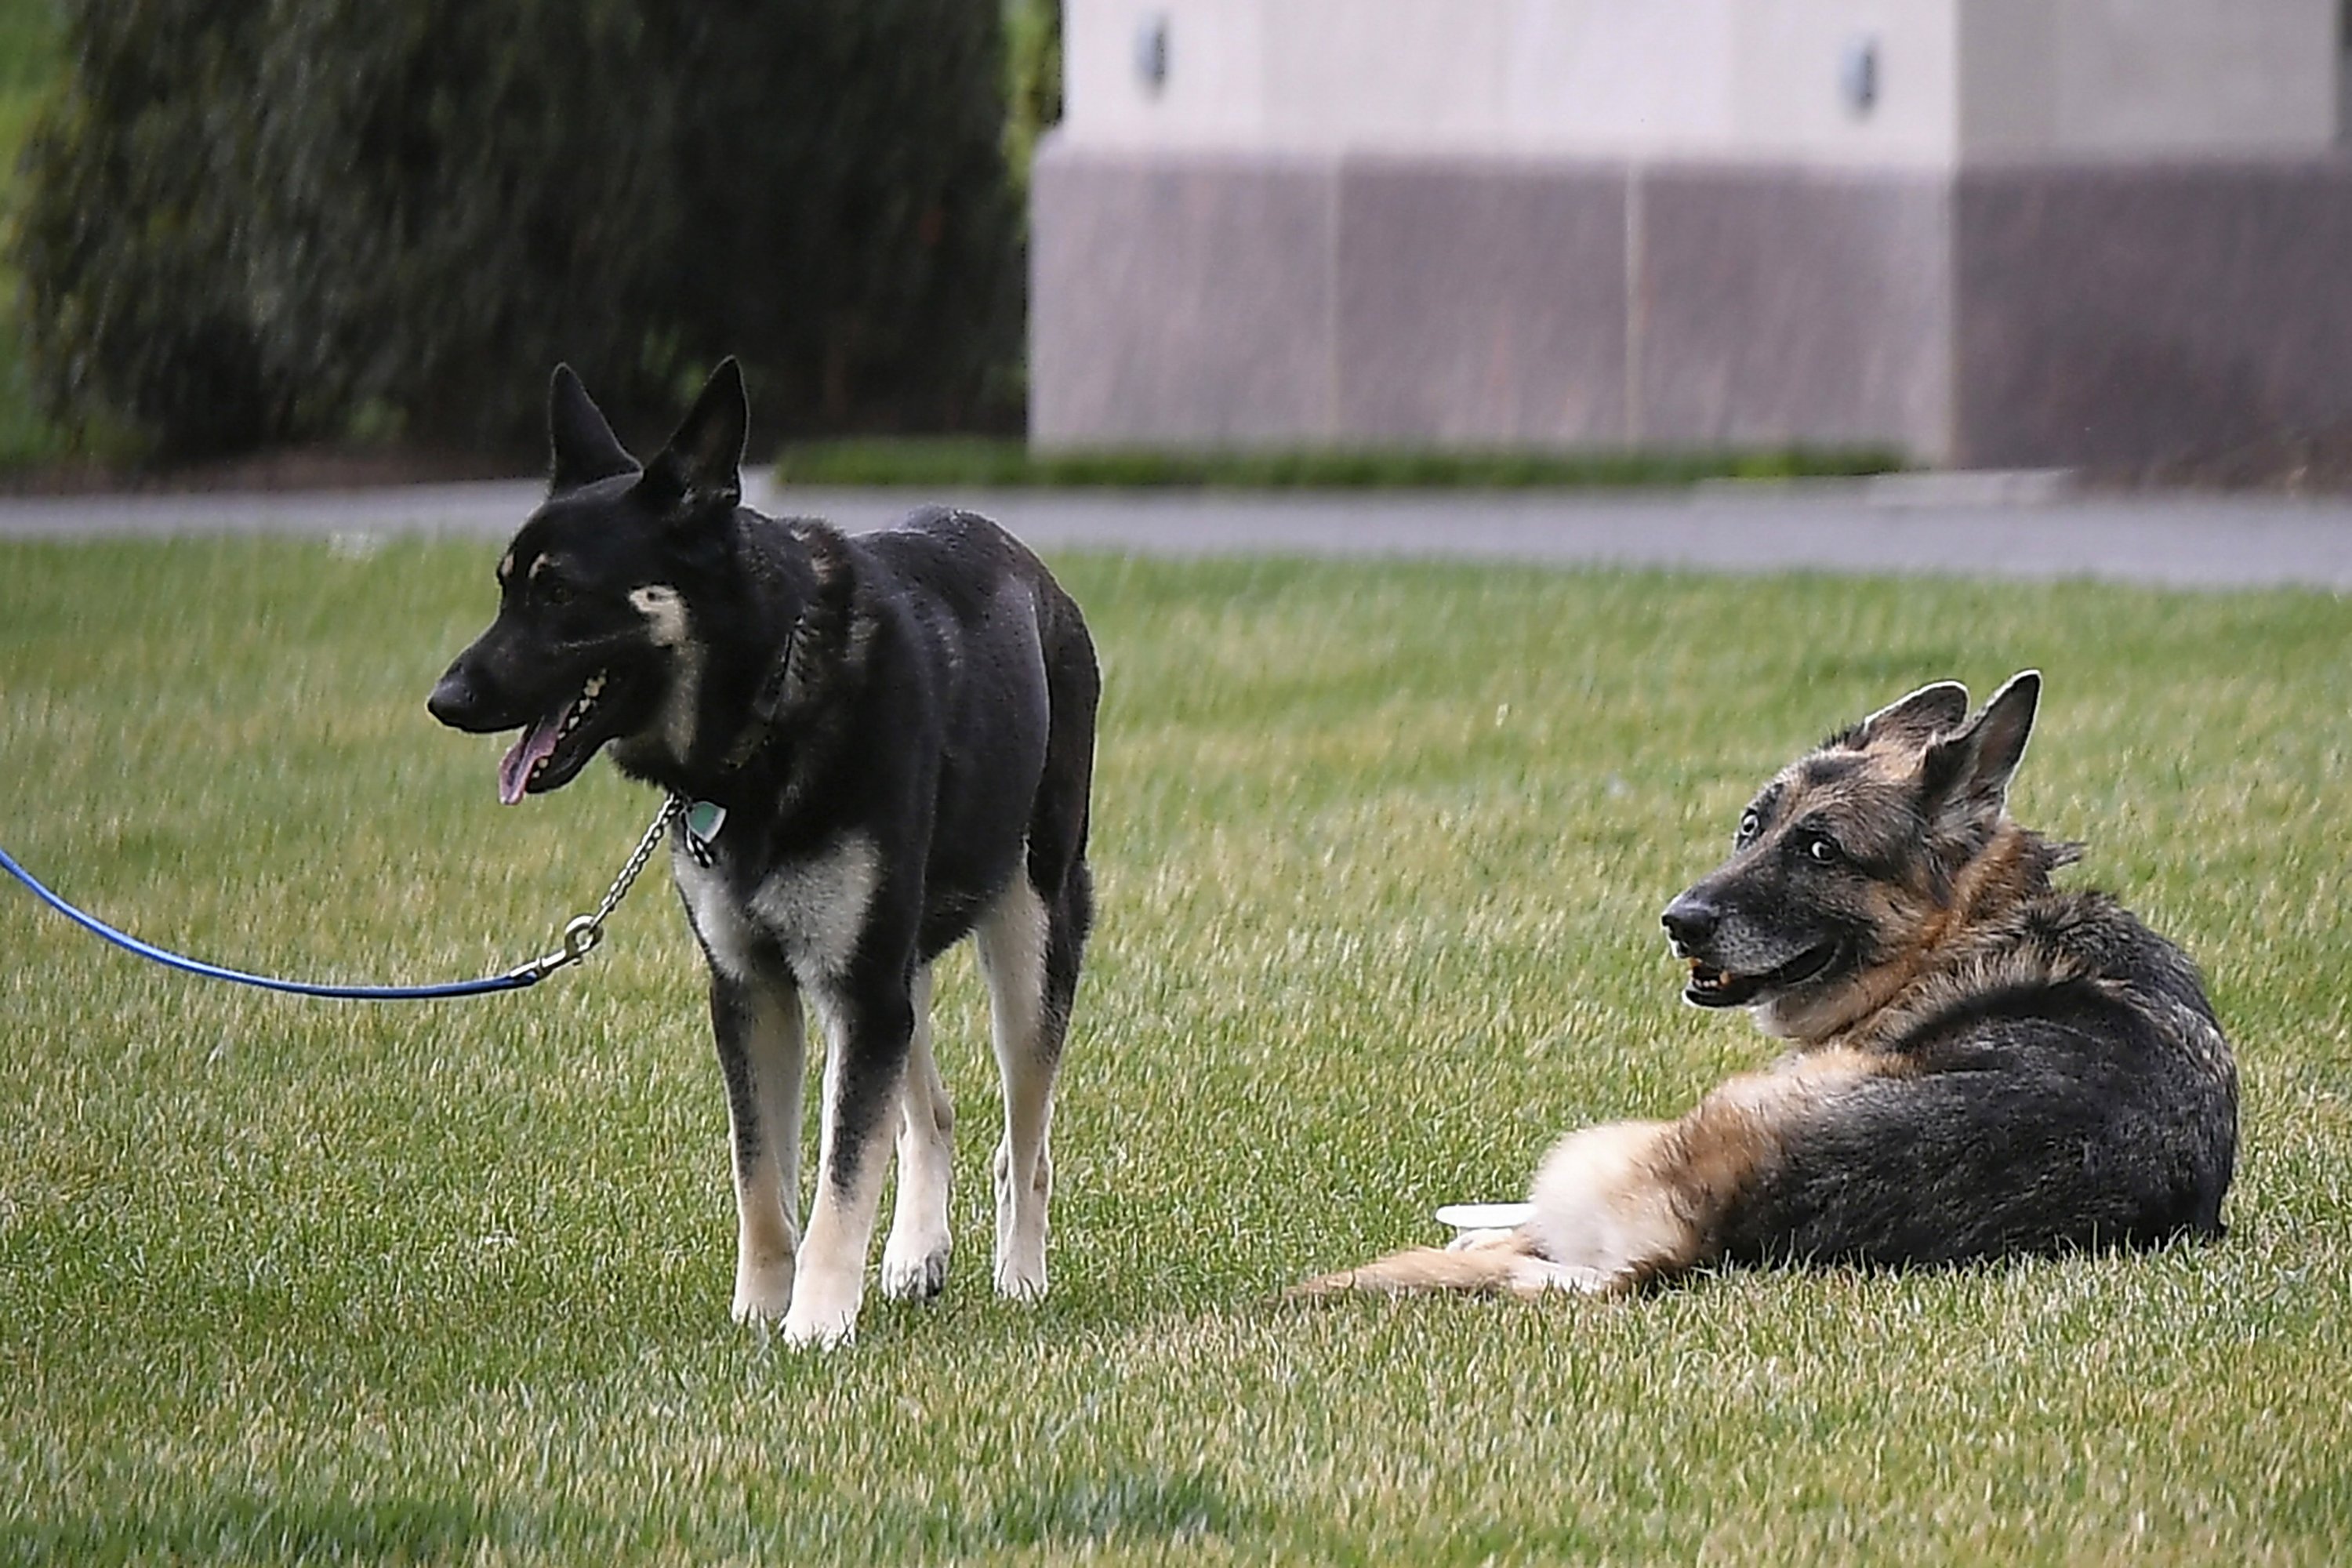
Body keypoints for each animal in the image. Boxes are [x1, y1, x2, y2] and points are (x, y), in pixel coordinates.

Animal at [428, 364, 1096, 1354]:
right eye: (506, 587)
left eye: (559, 594)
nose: (445, 698)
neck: (771, 699)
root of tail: (1036, 573)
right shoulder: (757, 991)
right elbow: (764, 1179)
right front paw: (761, 1308)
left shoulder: (856, 990)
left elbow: (841, 1175)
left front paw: (816, 1322)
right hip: (896, 965)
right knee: (930, 1112)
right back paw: (917, 1251)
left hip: (1028, 937)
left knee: (1027, 1140)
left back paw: (1020, 1275)